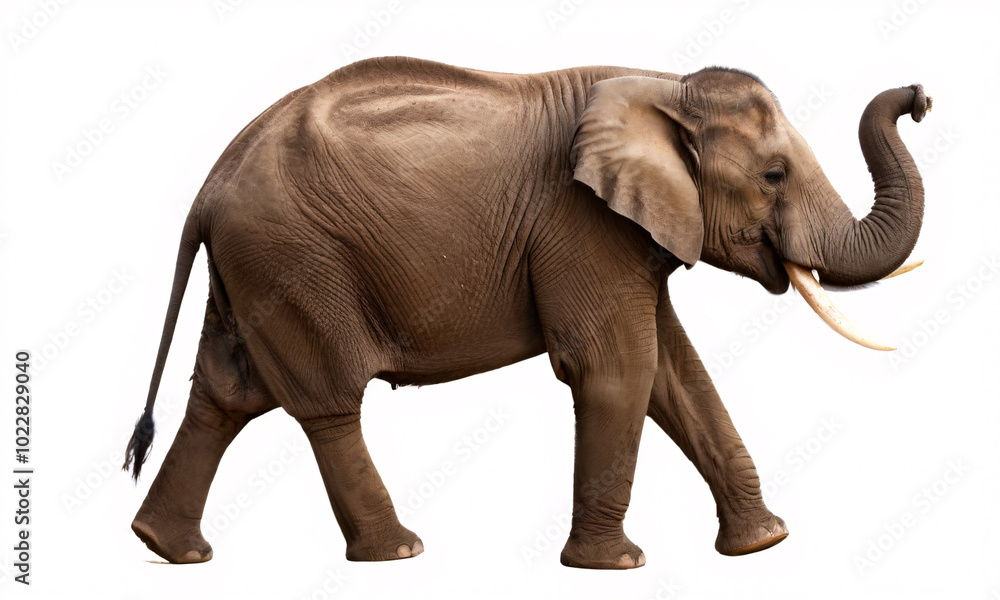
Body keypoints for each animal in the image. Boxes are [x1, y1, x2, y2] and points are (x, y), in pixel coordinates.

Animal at [123, 56, 929, 569]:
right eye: (773, 175)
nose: (919, 96)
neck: (665, 87)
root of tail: (208, 187)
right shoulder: (581, 224)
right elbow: (619, 367)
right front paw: (615, 567)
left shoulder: (631, 233)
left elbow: (675, 370)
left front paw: (763, 546)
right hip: (295, 261)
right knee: (325, 401)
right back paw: (398, 552)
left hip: (255, 268)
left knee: (226, 395)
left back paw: (171, 550)